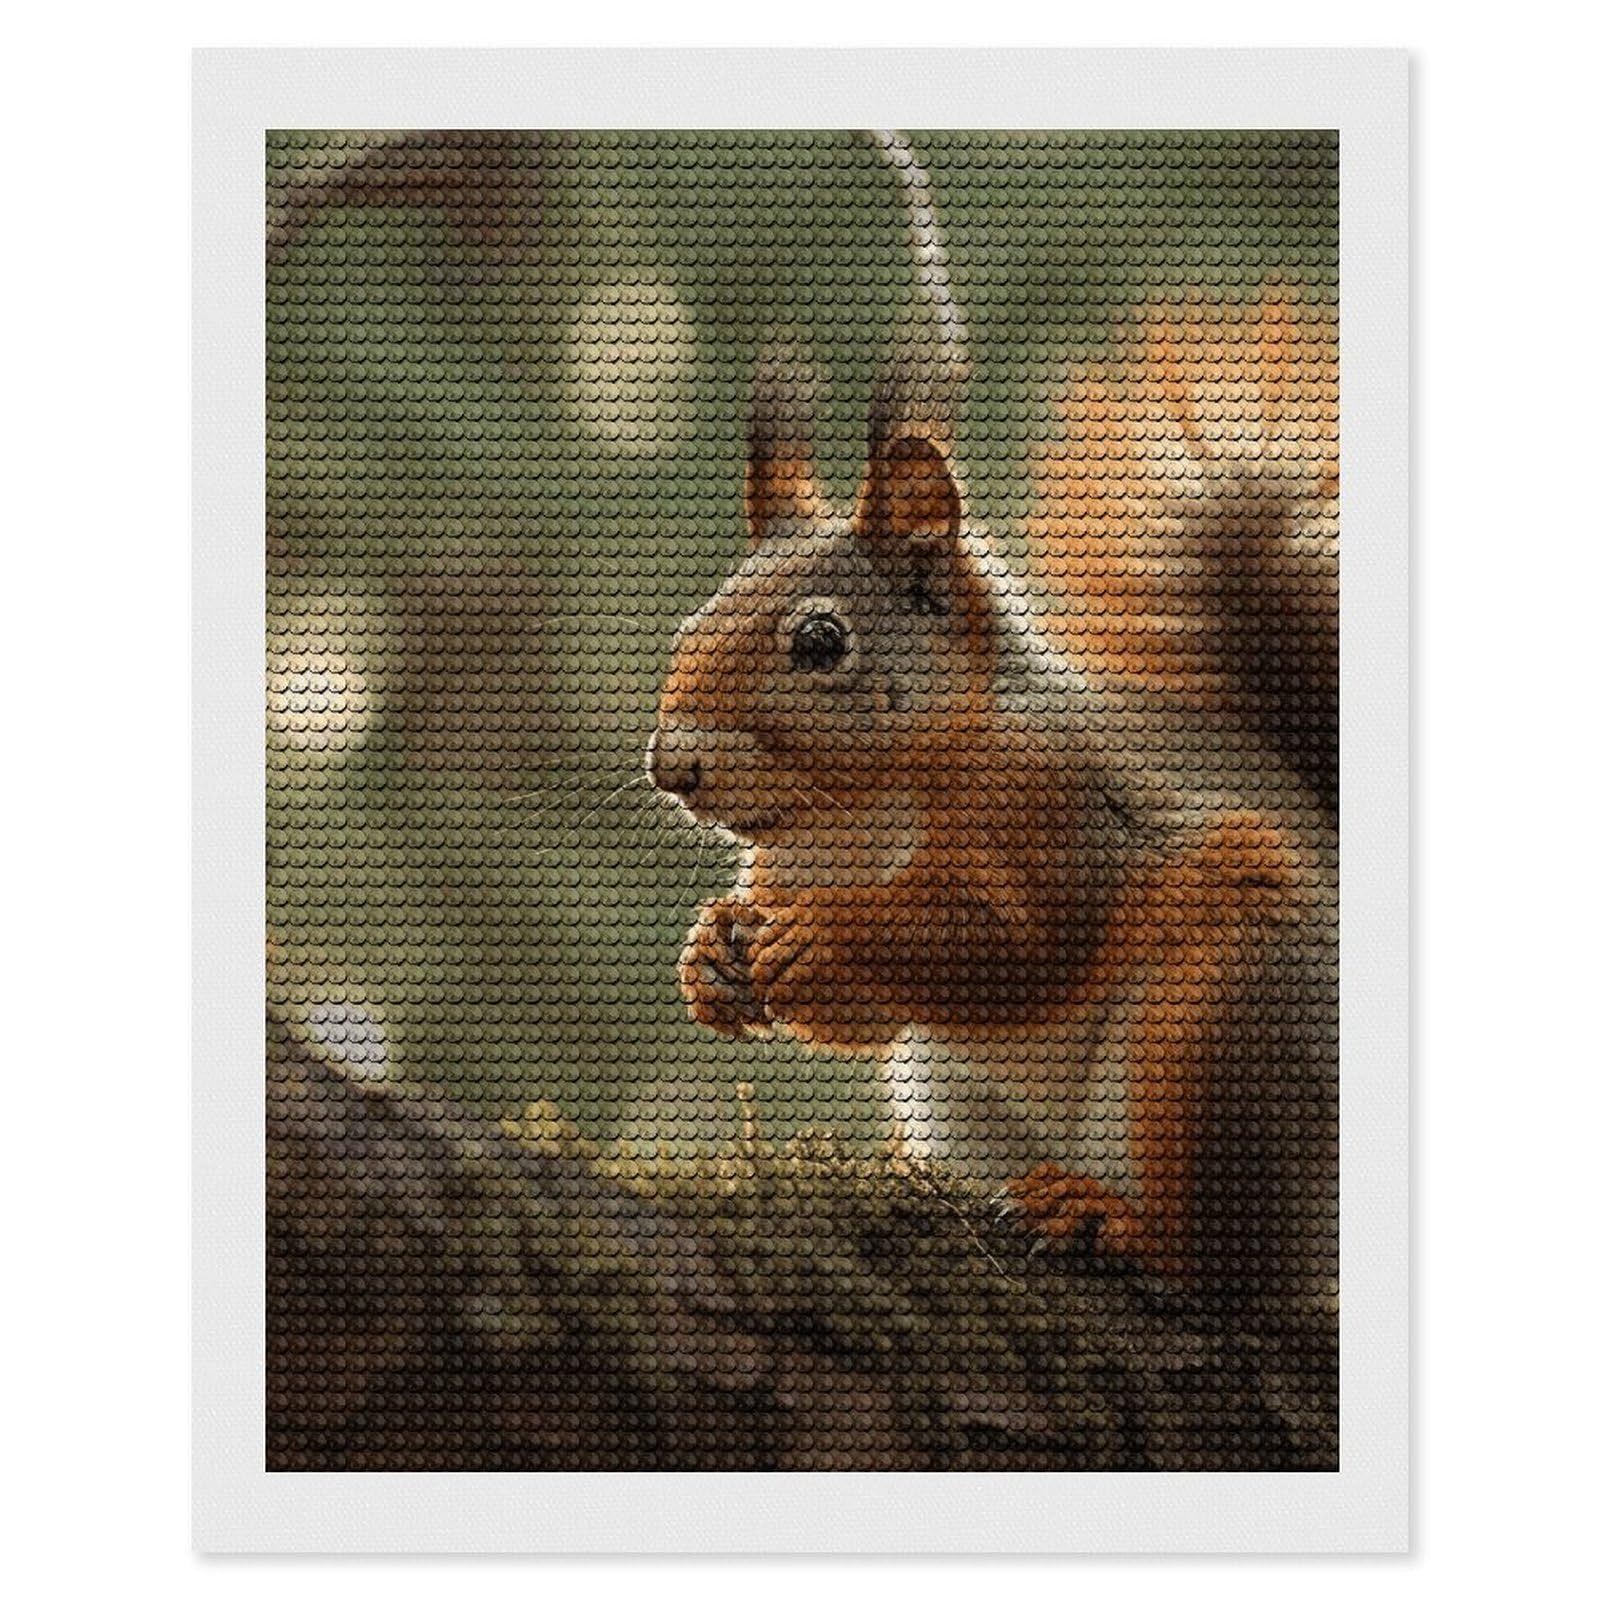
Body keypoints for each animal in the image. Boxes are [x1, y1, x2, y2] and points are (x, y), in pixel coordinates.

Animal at [647, 141, 1337, 1315]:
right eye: (694, 616)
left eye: (821, 640)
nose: (670, 762)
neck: (861, 812)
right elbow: (861, 1008)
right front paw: (710, 953)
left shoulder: (1050, 799)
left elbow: (1018, 940)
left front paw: (825, 933)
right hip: (950, 1091)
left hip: (1221, 1013)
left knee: (1232, 1269)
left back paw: (1126, 1225)